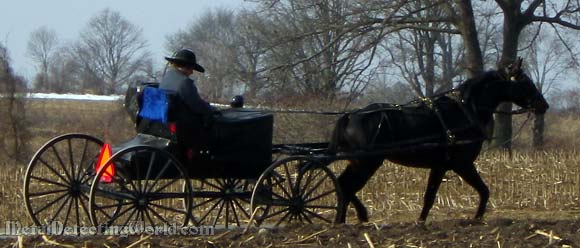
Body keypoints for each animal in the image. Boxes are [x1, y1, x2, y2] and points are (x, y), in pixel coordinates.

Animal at [330, 59, 548, 223]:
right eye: (525, 82)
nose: (544, 105)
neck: (466, 110)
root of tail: (350, 116)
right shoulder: (461, 163)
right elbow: (483, 191)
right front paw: (477, 219)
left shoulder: (440, 166)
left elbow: (430, 196)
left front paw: (421, 222)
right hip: (366, 163)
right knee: (346, 186)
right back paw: (346, 220)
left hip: (359, 162)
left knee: (343, 186)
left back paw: (347, 220)